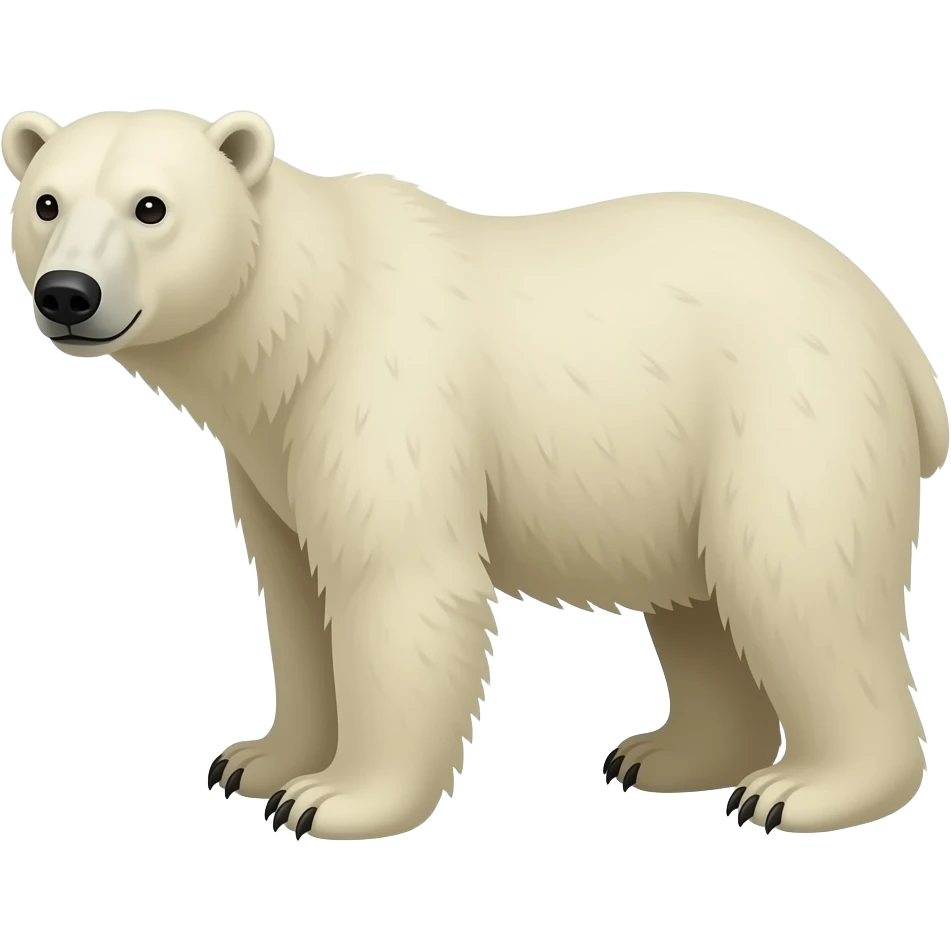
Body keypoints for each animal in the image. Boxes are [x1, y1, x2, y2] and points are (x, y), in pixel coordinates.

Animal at [4, 107, 947, 840]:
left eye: (151, 206)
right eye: (46, 201)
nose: (67, 293)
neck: (300, 322)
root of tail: (893, 330)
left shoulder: (380, 393)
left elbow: (395, 580)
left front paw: (333, 799)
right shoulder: (268, 452)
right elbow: (294, 595)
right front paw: (257, 762)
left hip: (786, 414)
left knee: (793, 580)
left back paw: (799, 789)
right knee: (699, 605)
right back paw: (666, 753)